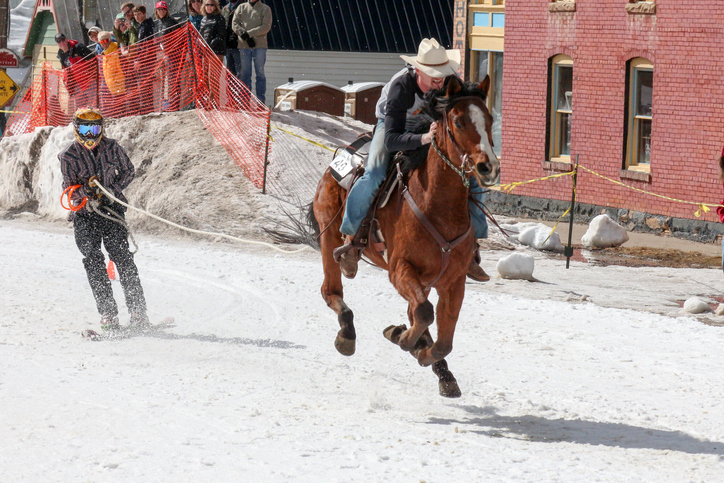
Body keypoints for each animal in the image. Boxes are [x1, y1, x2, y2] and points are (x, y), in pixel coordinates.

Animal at [308, 76, 500, 398]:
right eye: (458, 121)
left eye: (489, 119)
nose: (488, 167)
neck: (436, 205)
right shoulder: (399, 269)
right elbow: (423, 312)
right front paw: (402, 338)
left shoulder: (453, 282)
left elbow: (442, 339)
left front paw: (422, 351)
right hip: (329, 237)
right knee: (331, 291)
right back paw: (347, 332)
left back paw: (439, 368)